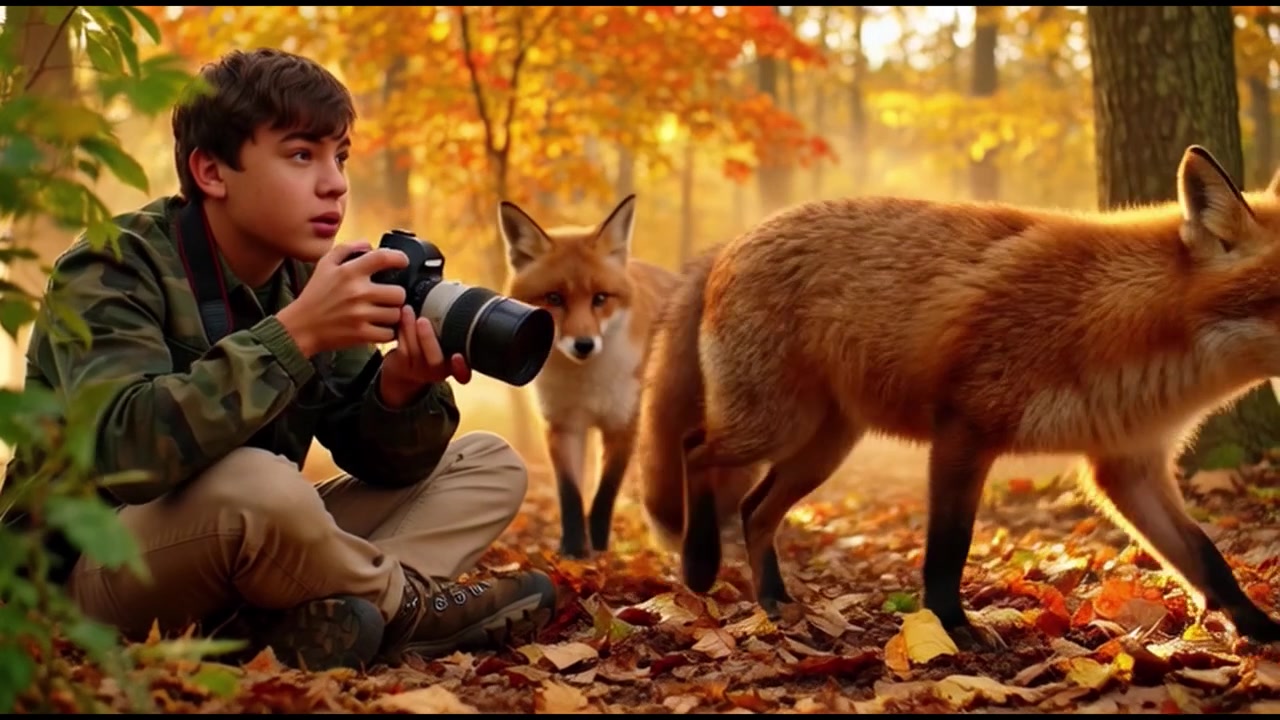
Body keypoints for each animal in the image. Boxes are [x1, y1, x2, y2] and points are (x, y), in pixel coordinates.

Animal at [499, 194, 682, 559]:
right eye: (554, 298)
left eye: (600, 298)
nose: (584, 345)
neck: (587, 385)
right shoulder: (562, 426)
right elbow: (571, 493)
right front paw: (573, 549)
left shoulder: (623, 426)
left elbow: (605, 493)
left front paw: (598, 547)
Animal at [659, 144, 1280, 649]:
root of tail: (737, 239)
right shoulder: (965, 428)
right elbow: (948, 548)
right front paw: (950, 627)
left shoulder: (1130, 464)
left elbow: (1206, 558)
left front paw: (1257, 627)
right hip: (773, 424)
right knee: (694, 449)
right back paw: (699, 564)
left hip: (824, 446)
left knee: (754, 508)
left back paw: (773, 599)